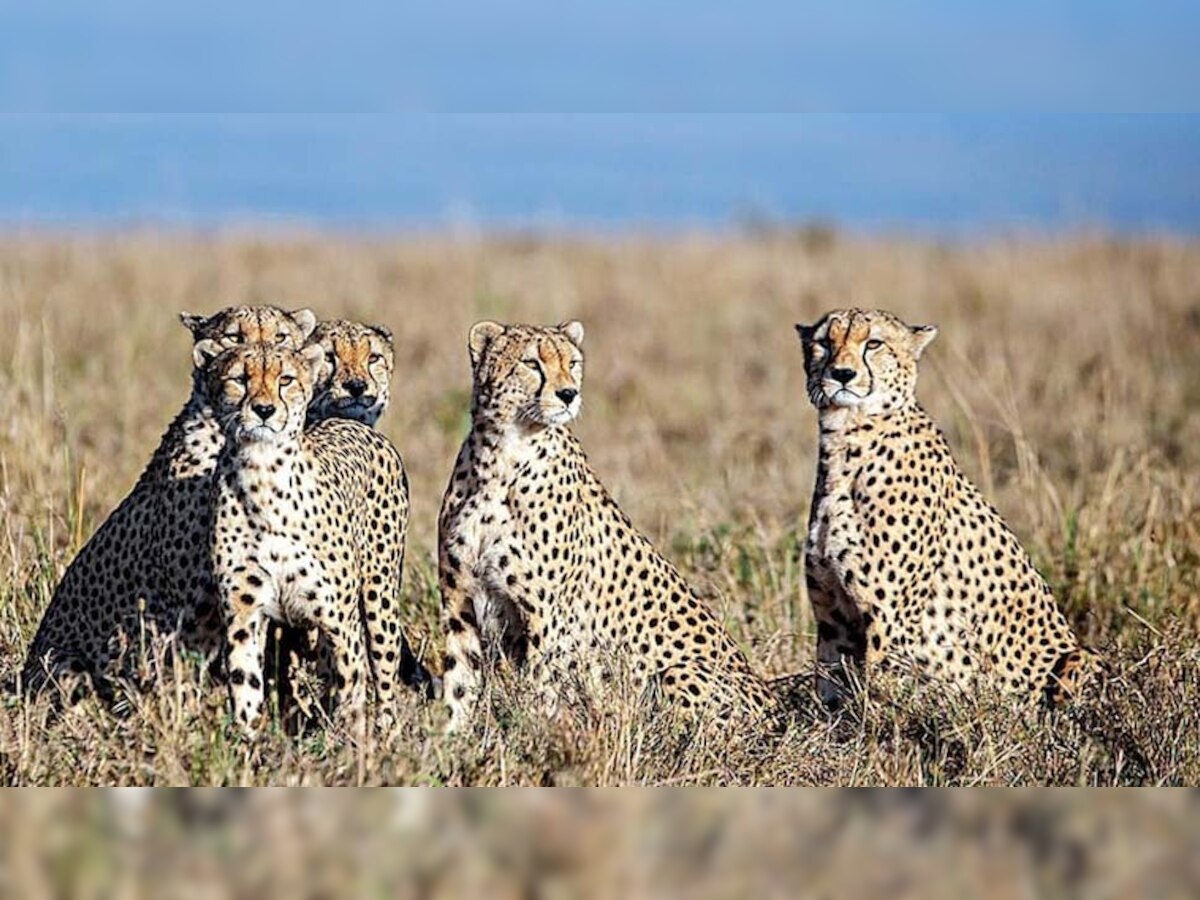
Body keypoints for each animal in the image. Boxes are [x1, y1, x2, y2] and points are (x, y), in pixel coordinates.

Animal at [204, 340, 415, 734]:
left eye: (285, 379)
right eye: (239, 379)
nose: (264, 410)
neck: (262, 474)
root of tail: (349, 422)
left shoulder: (339, 621)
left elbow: (351, 691)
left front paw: (354, 745)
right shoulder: (243, 616)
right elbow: (245, 688)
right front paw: (248, 744)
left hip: (378, 599)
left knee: (383, 675)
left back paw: (386, 732)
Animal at [439, 321, 777, 734]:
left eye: (572, 363)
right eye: (532, 363)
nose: (569, 394)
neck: (500, 458)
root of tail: (775, 707)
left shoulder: (547, 618)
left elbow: (539, 691)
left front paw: (535, 739)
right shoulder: (460, 605)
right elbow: (458, 686)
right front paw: (449, 742)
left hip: (678, 673)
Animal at [796, 309, 1099, 710]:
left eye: (873, 343)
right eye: (824, 343)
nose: (842, 374)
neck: (847, 438)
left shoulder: (890, 623)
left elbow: (876, 697)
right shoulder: (834, 619)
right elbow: (831, 692)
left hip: (1081, 657)